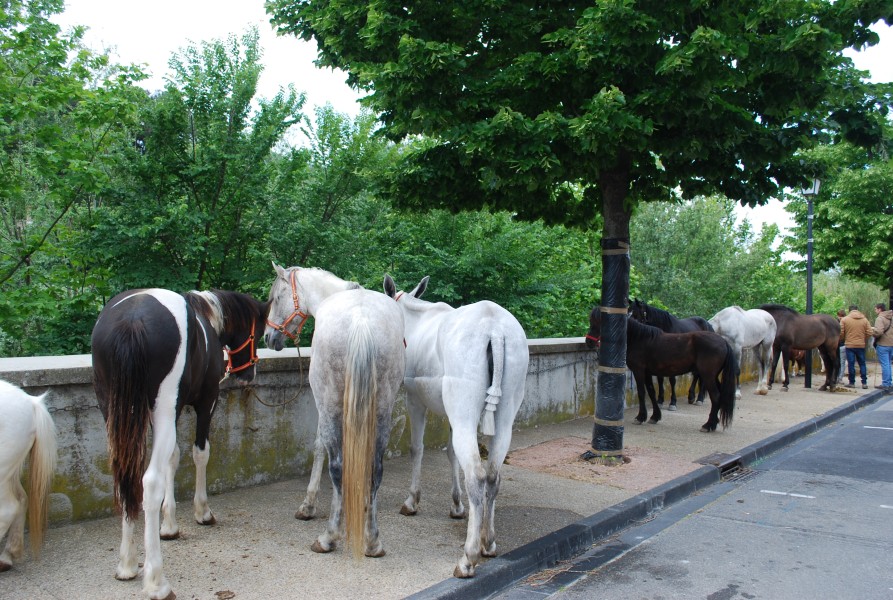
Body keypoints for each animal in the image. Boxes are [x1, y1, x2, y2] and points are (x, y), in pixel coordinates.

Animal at [93, 286, 272, 600]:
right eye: (258, 331)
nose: (248, 375)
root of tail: (132, 320)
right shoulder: (205, 401)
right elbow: (199, 453)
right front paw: (202, 511)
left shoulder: (170, 413)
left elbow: (172, 458)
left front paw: (169, 524)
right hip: (163, 406)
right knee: (148, 482)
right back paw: (156, 580)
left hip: (113, 409)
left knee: (125, 475)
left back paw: (127, 563)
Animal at [386, 274, 528, 580]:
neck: (413, 320)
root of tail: (495, 330)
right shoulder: (450, 414)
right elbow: (451, 454)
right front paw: (456, 505)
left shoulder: (415, 400)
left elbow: (417, 448)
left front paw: (412, 501)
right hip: (502, 416)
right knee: (493, 475)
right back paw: (488, 541)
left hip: (463, 410)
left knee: (476, 474)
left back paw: (468, 557)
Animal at [584, 310, 732, 432]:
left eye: (597, 322)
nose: (589, 342)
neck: (639, 338)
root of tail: (723, 342)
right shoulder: (648, 372)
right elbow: (651, 392)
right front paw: (654, 416)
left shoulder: (639, 371)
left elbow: (642, 393)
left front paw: (640, 417)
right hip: (713, 376)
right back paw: (714, 422)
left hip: (708, 376)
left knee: (715, 396)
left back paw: (708, 425)